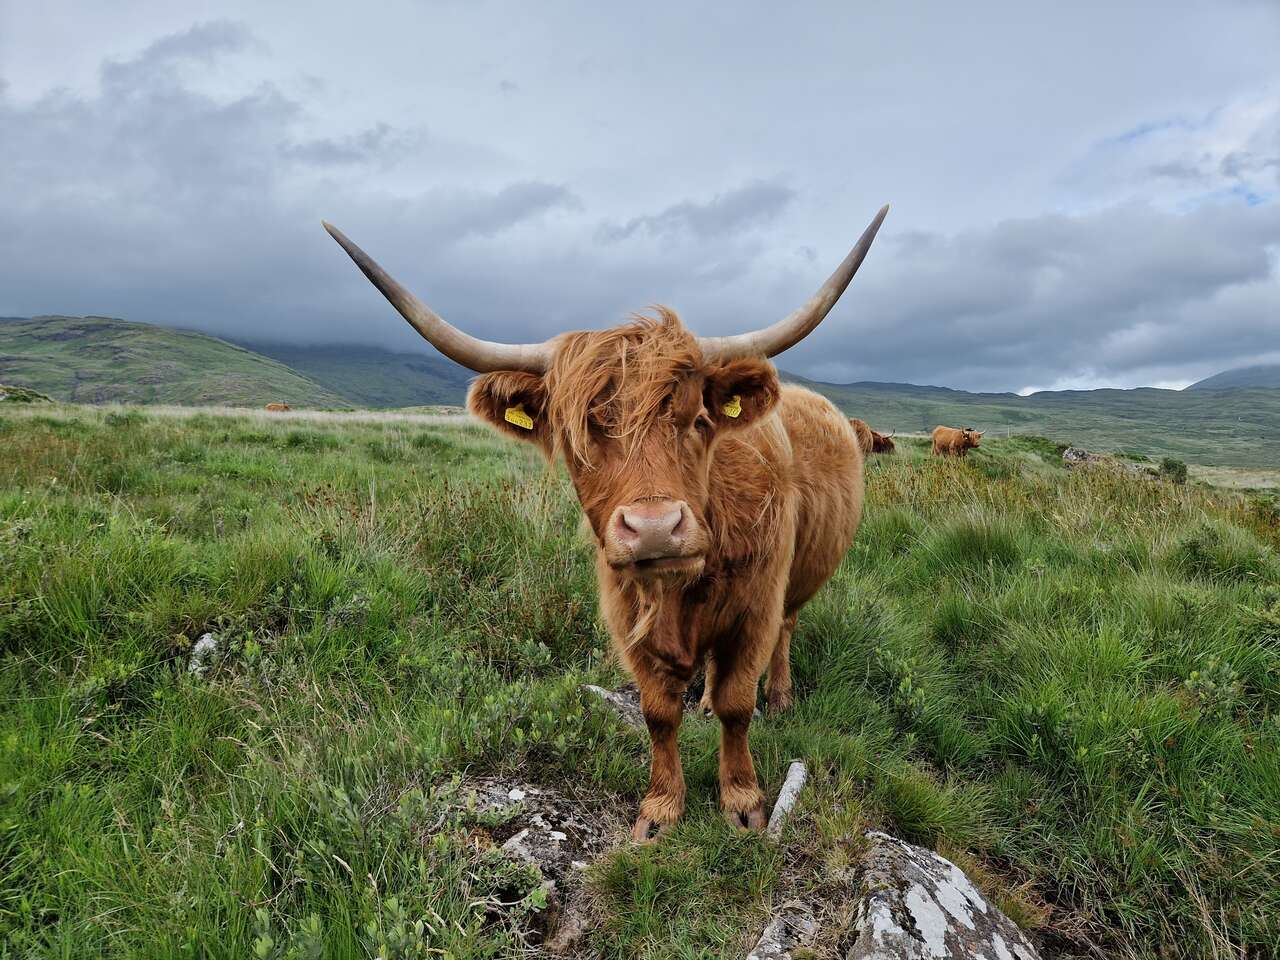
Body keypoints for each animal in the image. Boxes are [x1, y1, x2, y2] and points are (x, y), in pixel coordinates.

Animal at [323, 205, 888, 841]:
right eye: (579, 434)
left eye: (697, 420)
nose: (655, 527)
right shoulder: (625, 612)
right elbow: (657, 711)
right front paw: (660, 810)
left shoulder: (756, 608)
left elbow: (740, 702)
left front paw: (742, 803)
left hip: (798, 585)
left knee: (786, 633)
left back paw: (783, 695)